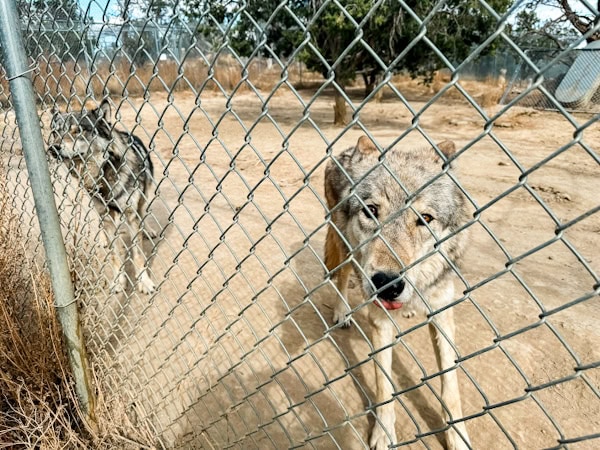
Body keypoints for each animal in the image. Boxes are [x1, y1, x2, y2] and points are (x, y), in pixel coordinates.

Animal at [326, 135, 472, 450]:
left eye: (425, 218)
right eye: (371, 211)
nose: (387, 284)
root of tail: (349, 149)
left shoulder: (443, 314)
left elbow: (450, 384)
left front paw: (457, 435)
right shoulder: (380, 320)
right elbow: (384, 384)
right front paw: (383, 433)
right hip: (344, 246)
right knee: (342, 277)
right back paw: (342, 312)